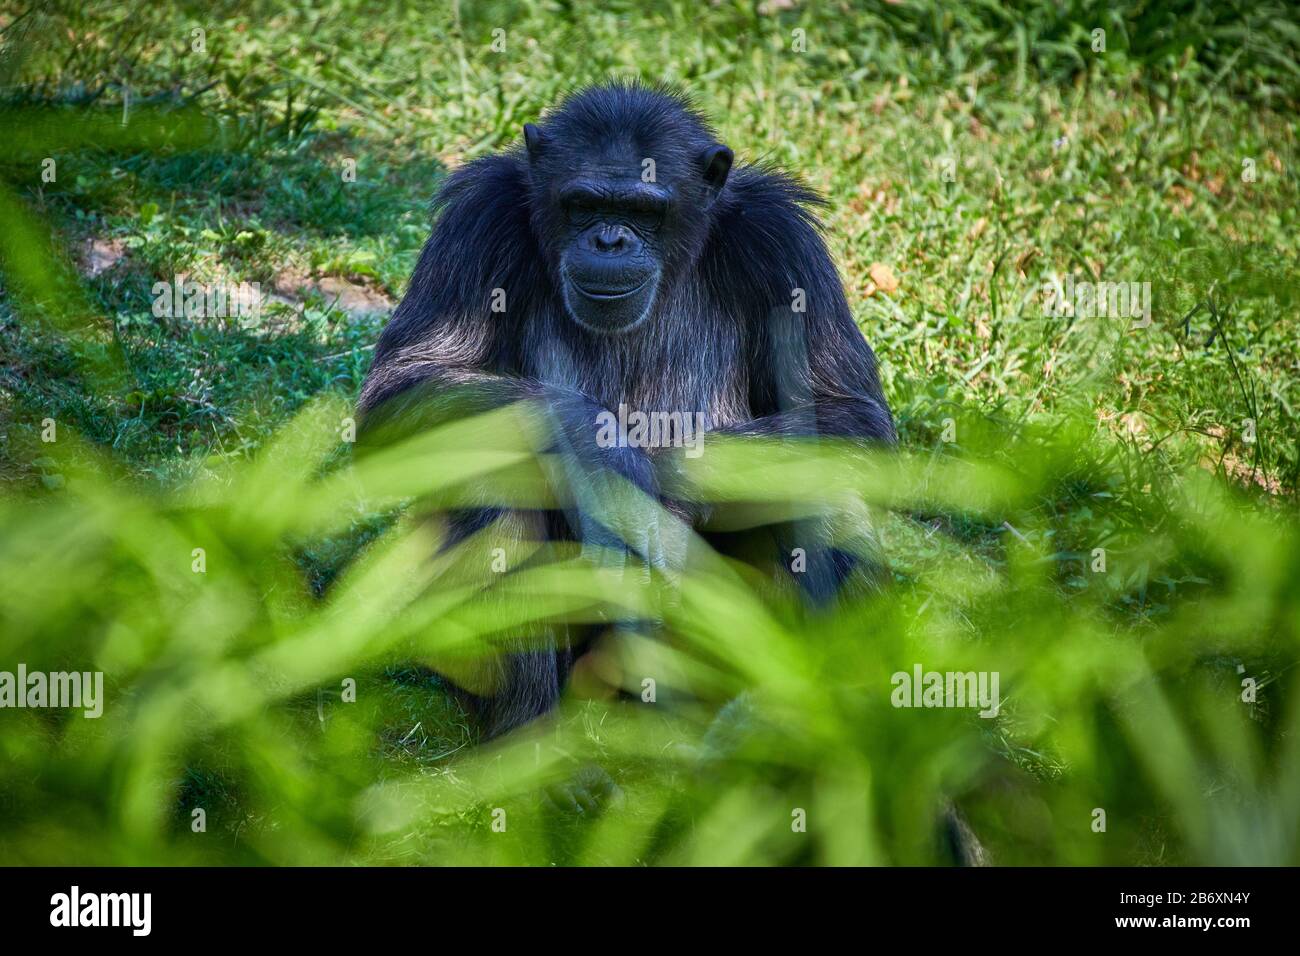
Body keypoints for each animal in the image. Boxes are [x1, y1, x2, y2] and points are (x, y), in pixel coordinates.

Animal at [361, 80, 899, 738]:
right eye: (583, 205)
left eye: (645, 211)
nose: (610, 239)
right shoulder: (478, 222)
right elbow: (407, 383)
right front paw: (605, 453)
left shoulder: (784, 243)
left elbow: (846, 409)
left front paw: (670, 477)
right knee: (495, 474)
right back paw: (529, 742)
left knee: (822, 481)